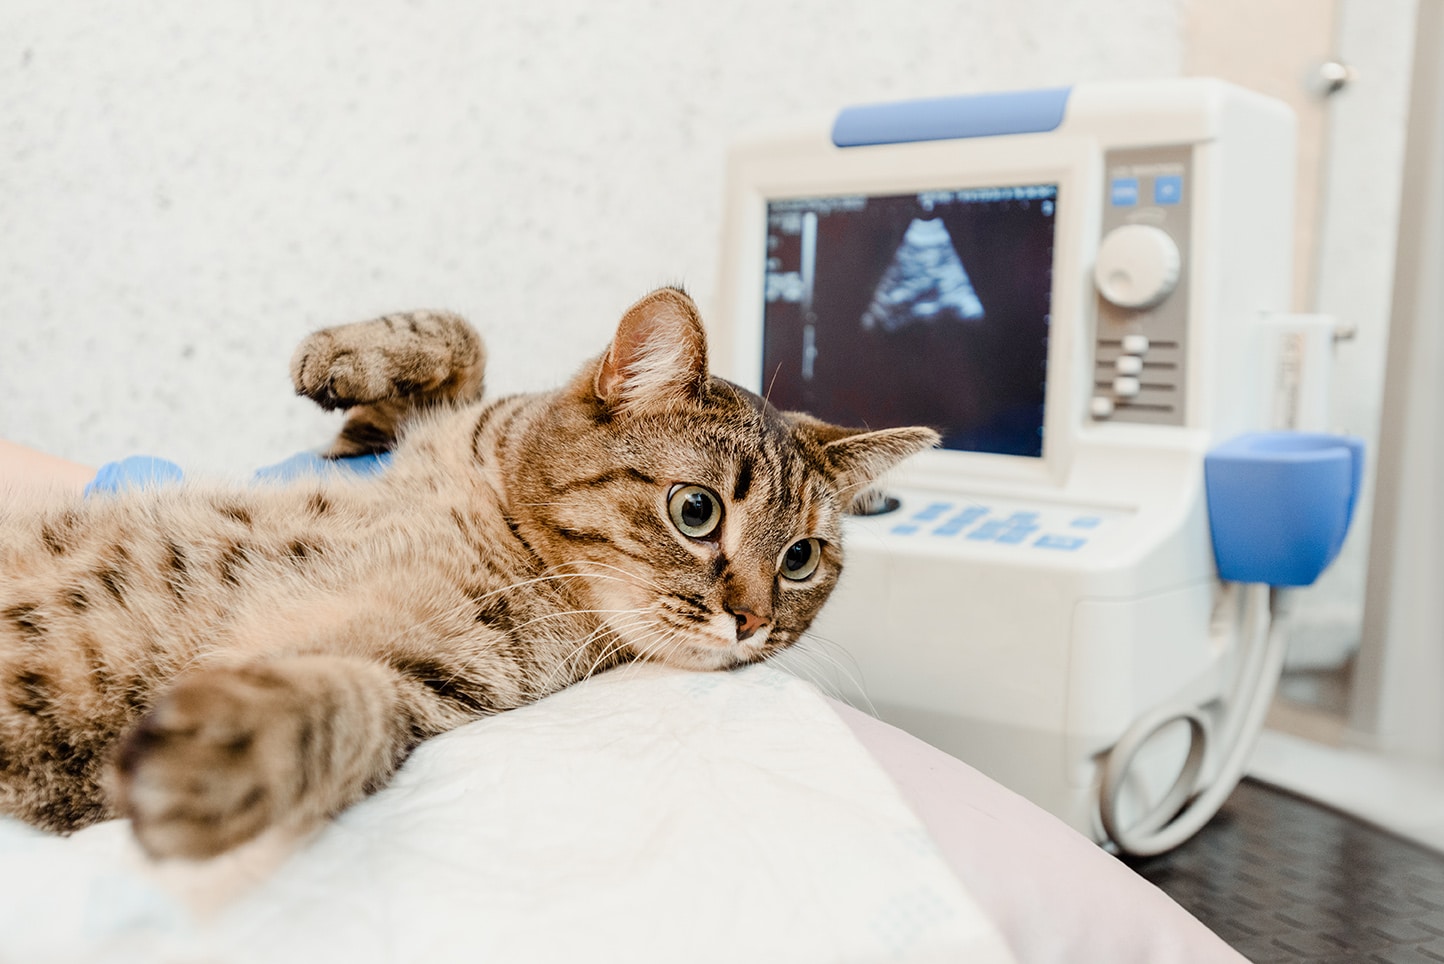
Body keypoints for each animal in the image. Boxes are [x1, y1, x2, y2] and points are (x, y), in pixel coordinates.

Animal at [0, 285, 935, 860]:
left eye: (801, 559)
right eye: (697, 511)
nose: (754, 621)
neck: (509, 528)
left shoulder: (431, 673)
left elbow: (350, 707)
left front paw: (227, 751)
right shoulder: (367, 449)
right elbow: (460, 337)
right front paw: (344, 353)